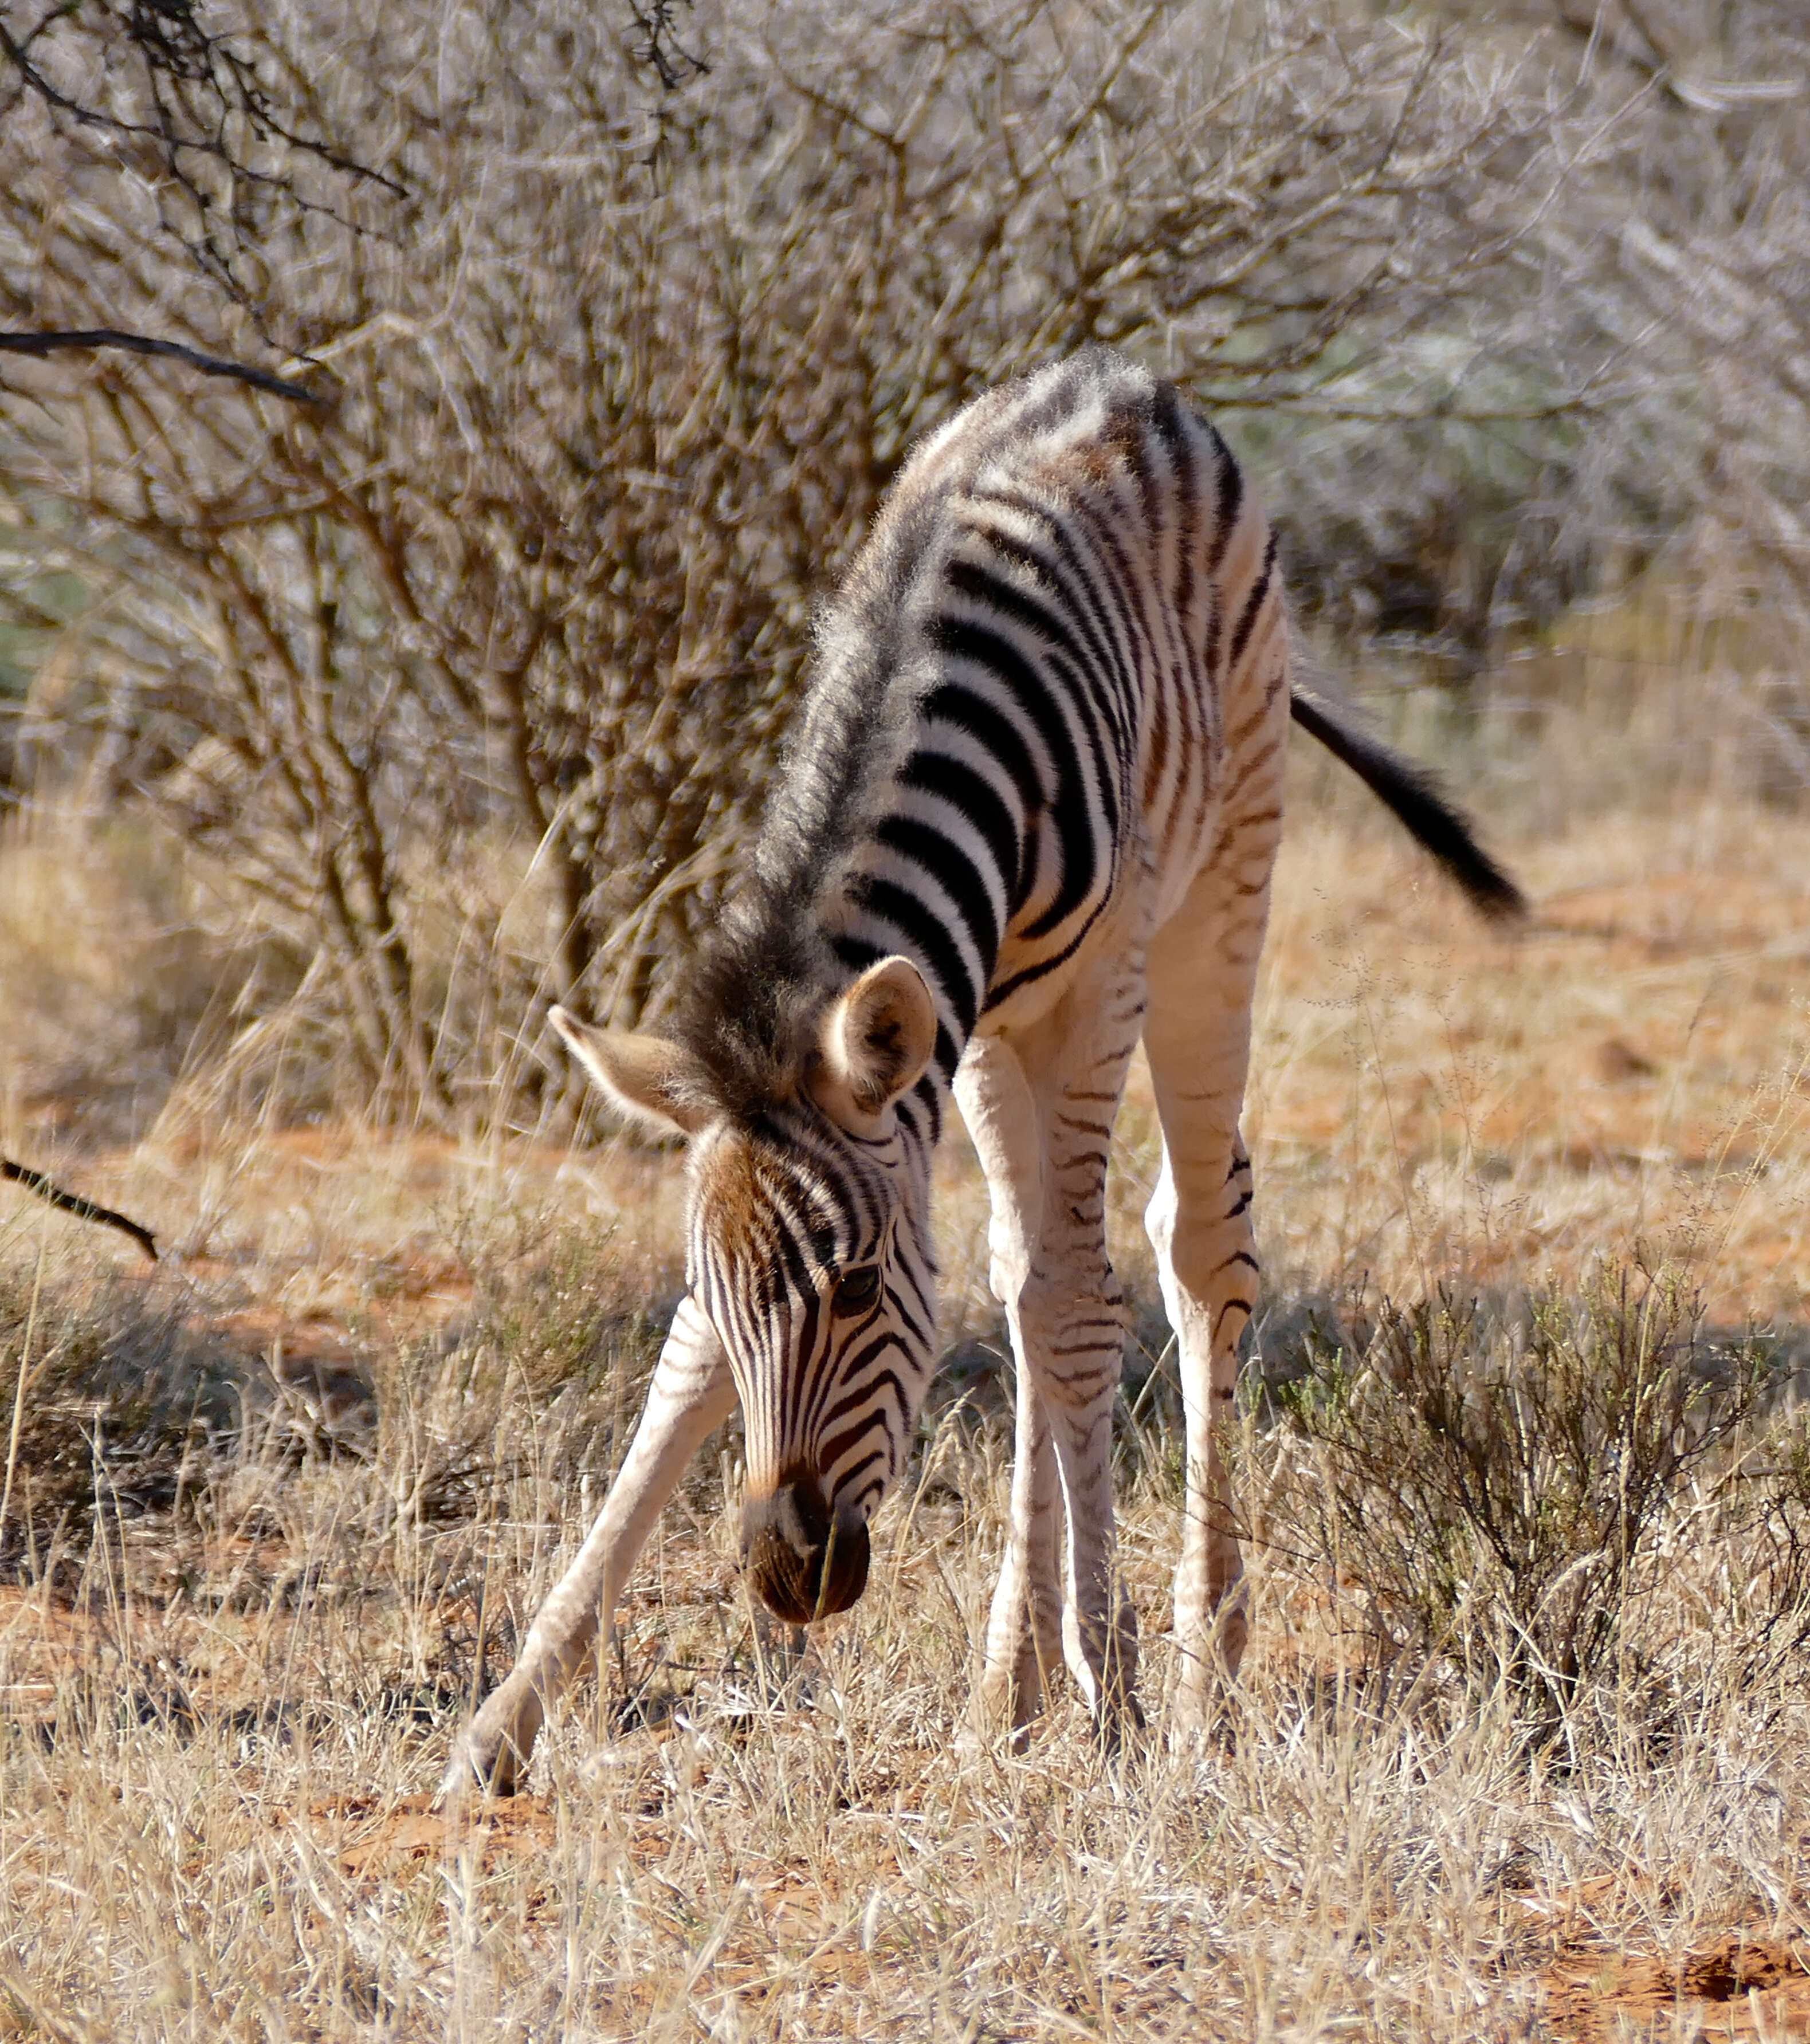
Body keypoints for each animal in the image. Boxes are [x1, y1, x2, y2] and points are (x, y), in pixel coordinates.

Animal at [446, 355, 1521, 1807]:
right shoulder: (950, 1037)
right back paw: (1009, 1694)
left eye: (851, 1289)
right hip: (993, 1041)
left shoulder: (1092, 986)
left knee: (1189, 1246)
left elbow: (1077, 1307)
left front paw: (1114, 1692)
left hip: (1218, 891)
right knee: (1025, 1270)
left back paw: (1197, 1670)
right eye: (721, 1293)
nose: (783, 1578)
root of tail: (1125, 379)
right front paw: (509, 1712)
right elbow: (719, 1359)